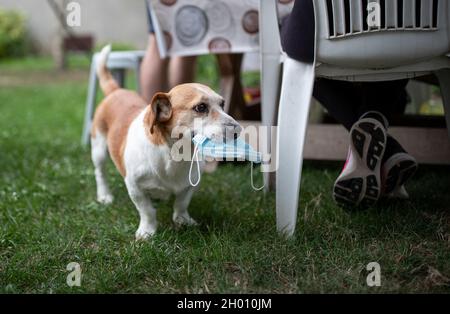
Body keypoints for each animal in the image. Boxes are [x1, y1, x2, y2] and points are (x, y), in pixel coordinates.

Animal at [89, 45, 241, 239]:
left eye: (222, 104)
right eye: (201, 107)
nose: (238, 129)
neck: (175, 154)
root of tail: (116, 91)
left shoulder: (190, 185)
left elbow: (181, 204)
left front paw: (183, 220)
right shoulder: (134, 186)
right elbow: (146, 210)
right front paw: (147, 231)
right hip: (99, 150)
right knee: (100, 173)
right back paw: (104, 195)